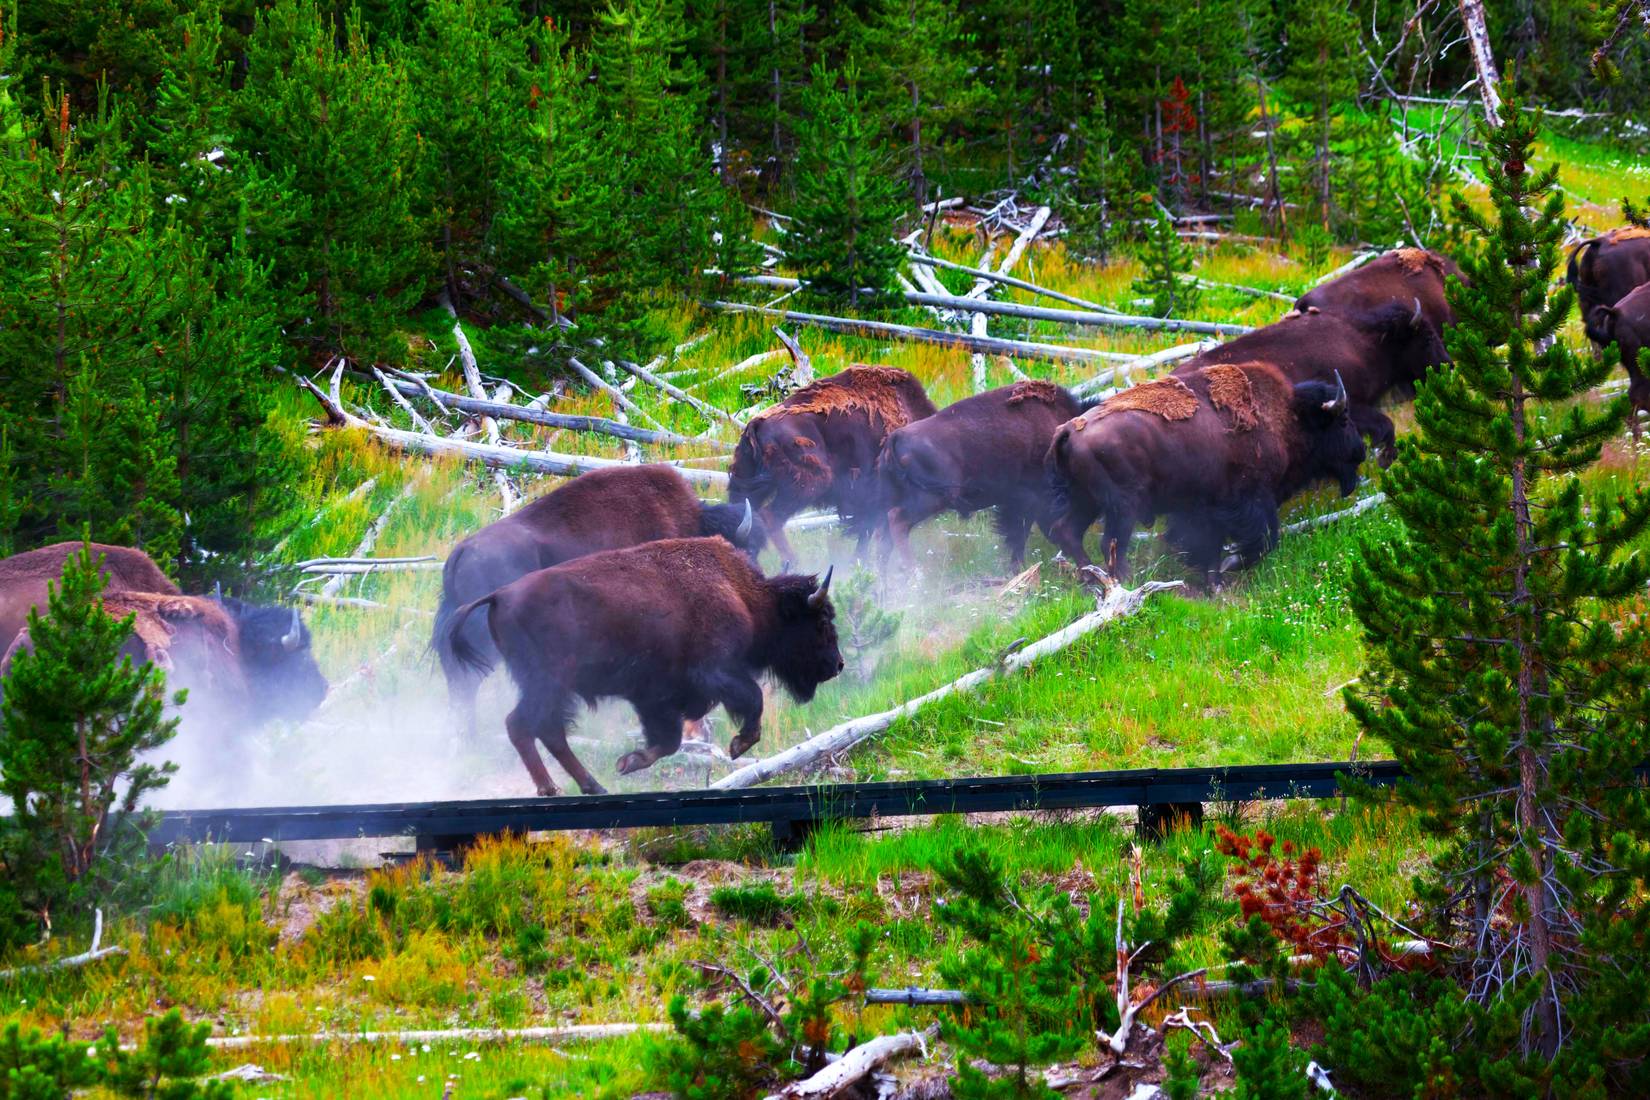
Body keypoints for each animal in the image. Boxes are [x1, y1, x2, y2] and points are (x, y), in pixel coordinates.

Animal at [441, 537, 843, 796]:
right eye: (821, 621)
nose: (837, 665)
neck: (746, 596)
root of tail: (499, 595)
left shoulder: (654, 698)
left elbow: (667, 740)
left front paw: (629, 761)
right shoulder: (714, 673)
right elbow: (752, 698)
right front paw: (739, 745)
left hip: (553, 687)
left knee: (546, 730)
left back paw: (592, 785)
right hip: (548, 683)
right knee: (524, 725)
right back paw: (551, 788)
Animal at [878, 380, 1093, 569]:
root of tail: (896, 436)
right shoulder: (1027, 499)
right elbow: (1019, 533)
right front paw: (1018, 567)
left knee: (884, 534)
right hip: (932, 499)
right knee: (897, 521)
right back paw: (913, 571)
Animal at [1045, 362, 1365, 588]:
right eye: (1344, 419)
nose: (1360, 451)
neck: (1287, 416)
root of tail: (1068, 429)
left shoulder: (1207, 509)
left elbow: (1211, 545)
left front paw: (1215, 583)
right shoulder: (1249, 500)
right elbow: (1262, 540)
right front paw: (1229, 567)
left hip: (1087, 500)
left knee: (1068, 530)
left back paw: (1091, 579)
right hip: (1122, 506)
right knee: (1110, 543)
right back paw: (1123, 581)